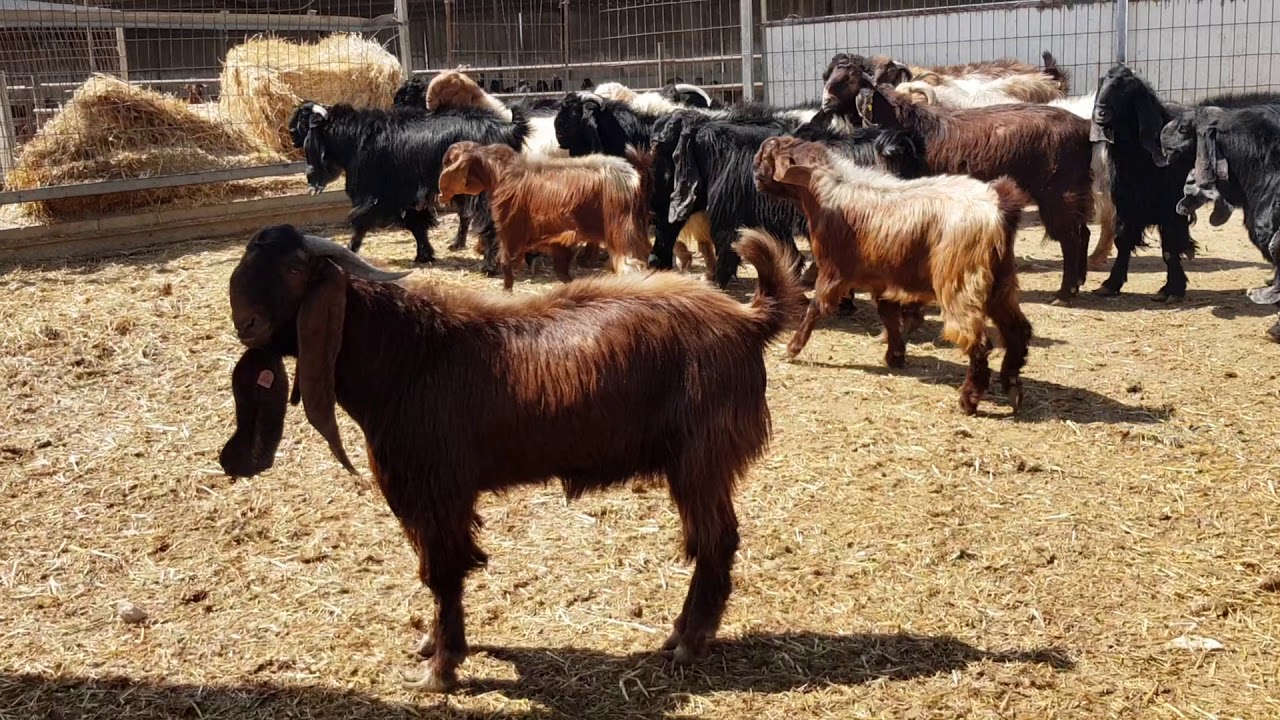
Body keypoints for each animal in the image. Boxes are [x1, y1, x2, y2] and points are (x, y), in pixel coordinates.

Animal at [223, 224, 807, 692]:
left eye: (295, 269)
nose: (245, 324)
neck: (408, 356)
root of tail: (749, 318)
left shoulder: (439, 492)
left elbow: (444, 572)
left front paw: (439, 670)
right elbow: (433, 570)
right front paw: (431, 646)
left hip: (701, 460)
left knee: (716, 542)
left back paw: (688, 643)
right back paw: (678, 636)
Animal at [288, 101, 527, 270]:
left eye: (301, 123)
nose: (290, 133)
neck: (355, 137)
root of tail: (508, 129)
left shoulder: (377, 195)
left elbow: (360, 222)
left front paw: (350, 250)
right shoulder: (407, 195)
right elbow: (417, 224)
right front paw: (424, 255)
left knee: (491, 221)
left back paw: (489, 265)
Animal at [437, 141, 651, 289]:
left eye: (447, 161)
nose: (441, 196)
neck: (503, 172)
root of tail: (634, 178)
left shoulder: (511, 231)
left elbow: (508, 266)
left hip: (621, 232)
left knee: (631, 266)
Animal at [754, 136, 1032, 414]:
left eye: (767, 157)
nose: (755, 174)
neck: (827, 191)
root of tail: (998, 208)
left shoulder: (834, 271)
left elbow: (816, 308)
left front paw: (792, 348)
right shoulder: (881, 277)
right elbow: (887, 314)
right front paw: (895, 355)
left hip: (961, 282)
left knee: (979, 343)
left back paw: (969, 400)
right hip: (1000, 282)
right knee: (1018, 329)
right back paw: (1012, 385)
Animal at [824, 59, 1094, 304]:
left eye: (850, 79)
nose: (825, 103)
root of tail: (1084, 126)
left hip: (1058, 193)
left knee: (1070, 238)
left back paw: (1064, 294)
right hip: (1075, 191)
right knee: (1083, 232)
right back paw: (1078, 283)